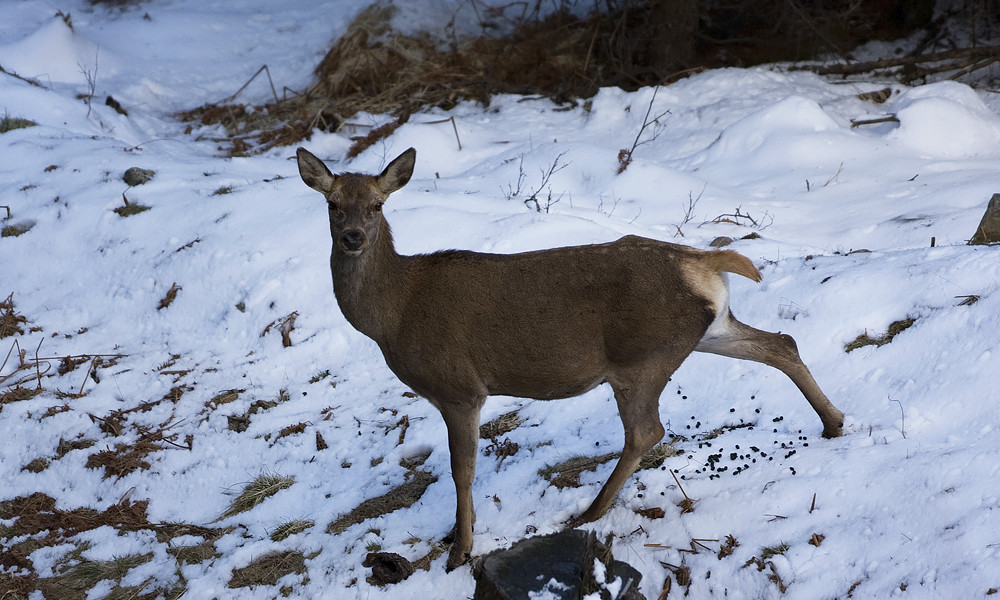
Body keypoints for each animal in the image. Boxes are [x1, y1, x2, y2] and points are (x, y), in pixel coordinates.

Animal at [296, 146, 844, 572]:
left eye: (377, 204)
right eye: (332, 203)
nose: (352, 238)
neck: (395, 315)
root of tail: (704, 263)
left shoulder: (460, 388)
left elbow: (462, 469)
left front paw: (461, 549)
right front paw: (456, 538)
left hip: (641, 356)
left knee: (647, 430)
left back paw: (590, 513)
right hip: (706, 331)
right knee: (780, 343)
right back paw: (834, 422)